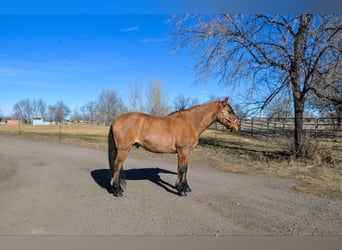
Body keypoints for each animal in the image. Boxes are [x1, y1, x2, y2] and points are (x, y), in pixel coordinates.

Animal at [108, 97, 239, 197]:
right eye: (229, 111)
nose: (237, 126)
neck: (191, 122)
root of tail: (116, 121)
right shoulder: (182, 151)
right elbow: (181, 169)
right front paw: (181, 190)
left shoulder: (187, 152)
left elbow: (185, 169)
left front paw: (186, 187)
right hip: (123, 149)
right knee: (117, 167)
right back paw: (117, 191)